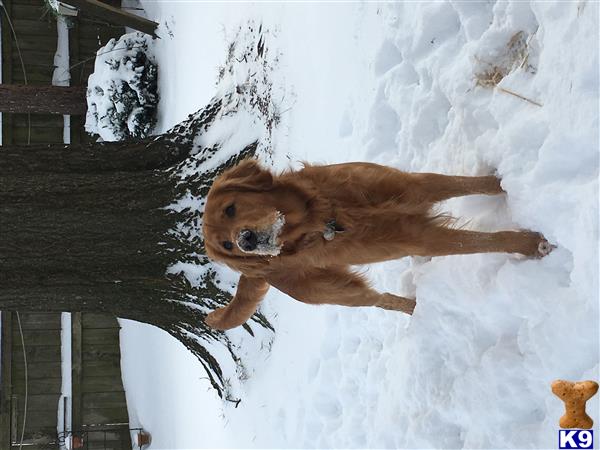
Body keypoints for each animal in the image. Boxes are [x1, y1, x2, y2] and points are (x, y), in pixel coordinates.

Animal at [203, 160, 552, 328]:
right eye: (227, 246)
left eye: (230, 209)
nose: (245, 241)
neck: (321, 213)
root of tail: (255, 272)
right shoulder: (419, 237)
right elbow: (484, 241)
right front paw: (533, 243)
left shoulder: (413, 186)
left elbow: (465, 184)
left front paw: (502, 180)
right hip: (340, 291)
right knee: (381, 299)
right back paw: (415, 309)